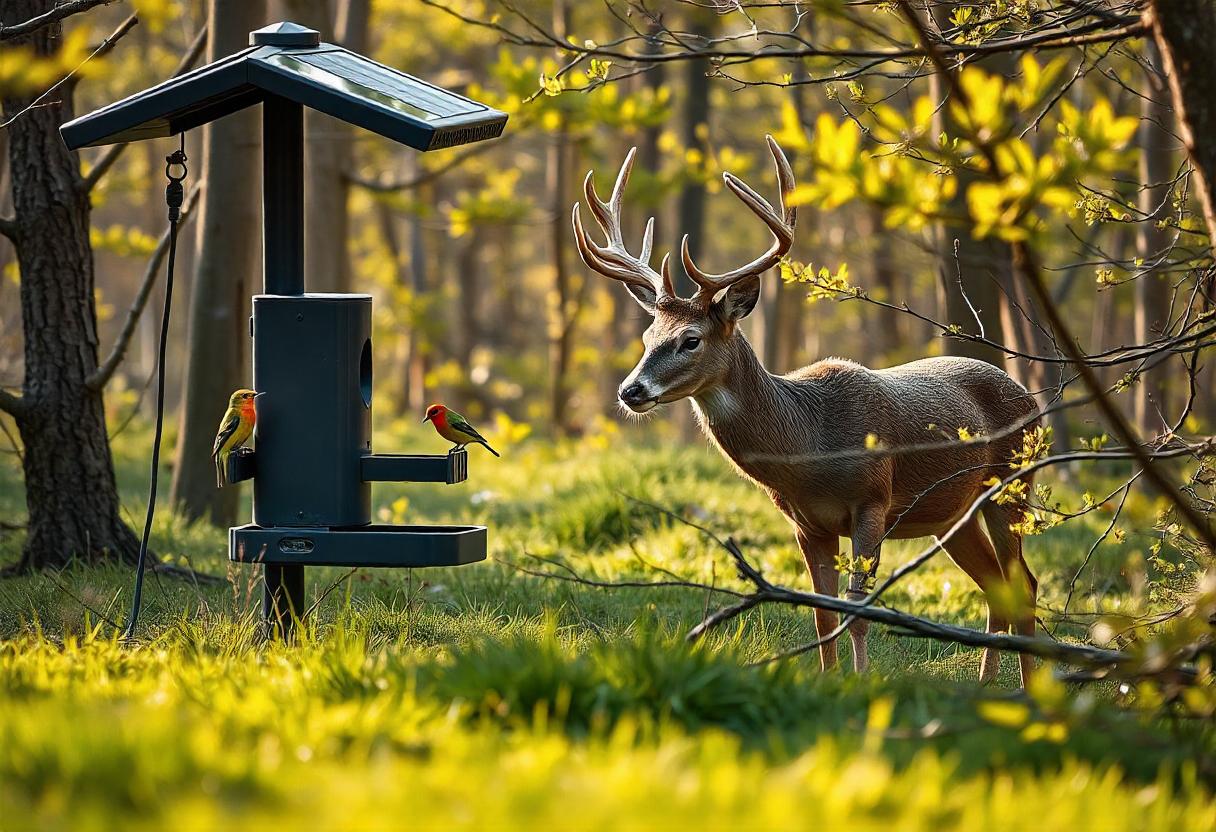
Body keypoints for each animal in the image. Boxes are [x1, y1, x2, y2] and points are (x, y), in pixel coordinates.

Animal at [573, 135, 1040, 681]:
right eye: (648, 336)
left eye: (690, 339)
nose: (631, 391)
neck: (810, 446)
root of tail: (1029, 397)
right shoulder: (806, 523)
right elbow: (822, 615)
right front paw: (829, 680)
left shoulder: (872, 501)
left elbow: (858, 610)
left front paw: (861, 682)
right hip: (953, 513)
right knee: (997, 586)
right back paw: (990, 684)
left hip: (1013, 485)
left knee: (1024, 584)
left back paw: (1029, 685)